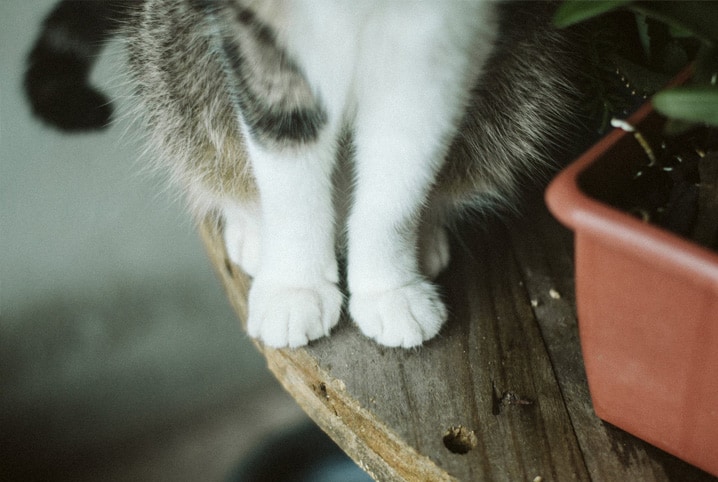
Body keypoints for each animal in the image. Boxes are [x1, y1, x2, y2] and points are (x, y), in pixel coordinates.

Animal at [25, 0, 588, 348]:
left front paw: (388, 285)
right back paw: (253, 225)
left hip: (527, 75)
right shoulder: (260, 41)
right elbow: (289, 172)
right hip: (169, 54)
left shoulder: (445, 47)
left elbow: (398, 181)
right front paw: (294, 285)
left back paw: (427, 231)